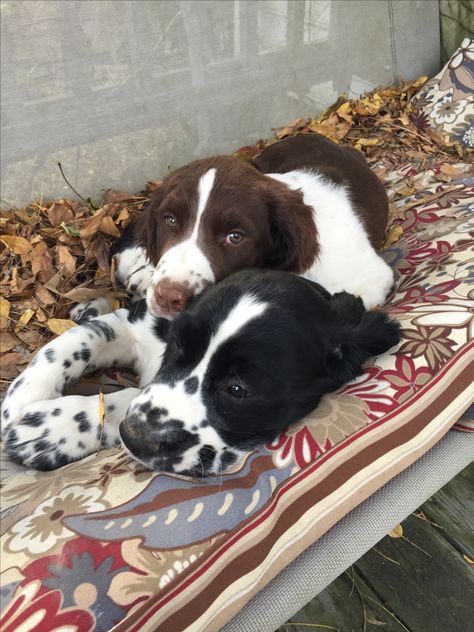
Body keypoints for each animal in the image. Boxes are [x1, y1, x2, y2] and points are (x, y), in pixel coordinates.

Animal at [0, 270, 400, 476]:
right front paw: (26, 397)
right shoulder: (140, 324)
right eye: (178, 343)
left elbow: (129, 395)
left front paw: (47, 430)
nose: (135, 436)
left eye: (238, 389)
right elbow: (80, 339)